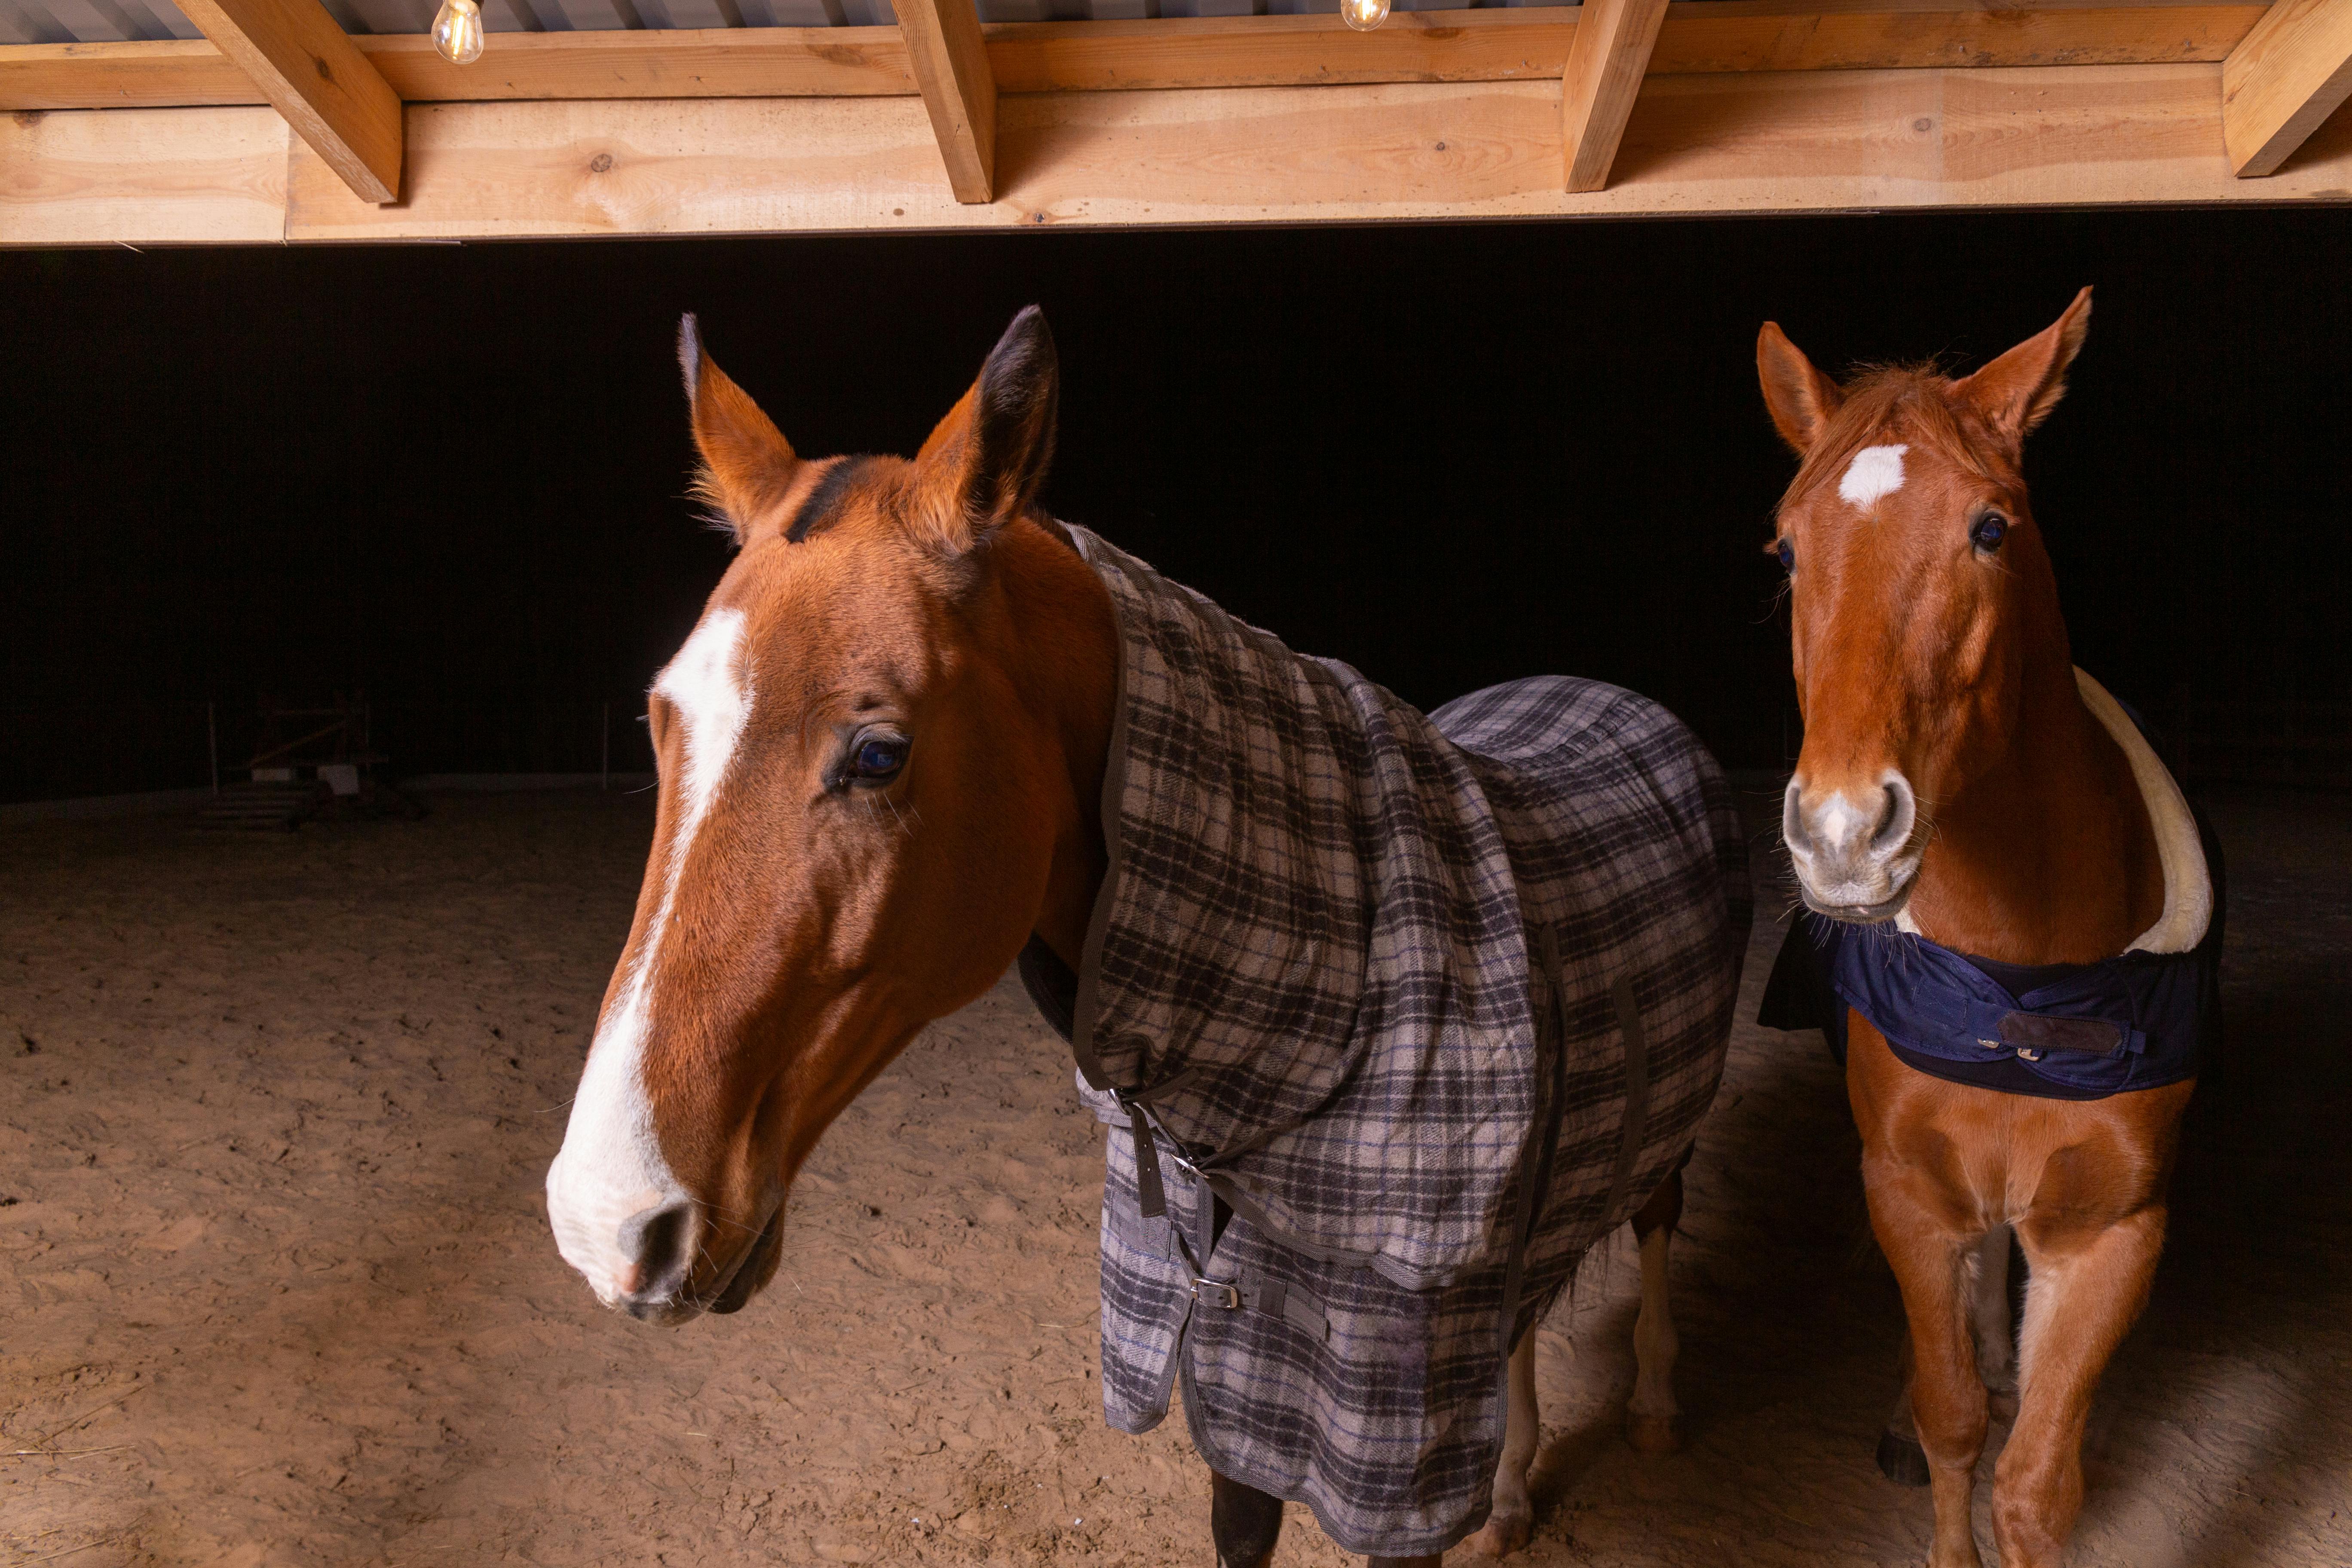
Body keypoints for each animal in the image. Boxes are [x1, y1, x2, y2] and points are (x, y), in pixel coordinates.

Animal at [544, 306, 1749, 1566]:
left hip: (1659, 1137)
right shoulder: (1233, 1372)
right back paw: (1511, 1490)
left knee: (1656, 1219)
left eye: (878, 754)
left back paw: (1651, 1407)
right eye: (659, 719)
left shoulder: (1386, 1433)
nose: (608, 1217)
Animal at [1756, 289, 2219, 1568]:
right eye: (1787, 550)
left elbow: (2033, 1486)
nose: (1843, 833)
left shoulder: (2110, 1236)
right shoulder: (1910, 1197)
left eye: (1988, 531)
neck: (2023, 994)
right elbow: (1954, 1418)